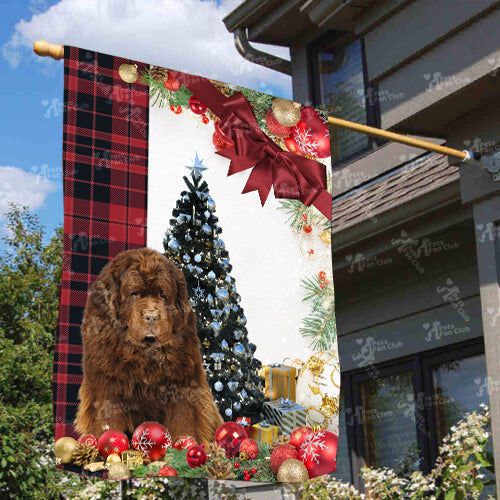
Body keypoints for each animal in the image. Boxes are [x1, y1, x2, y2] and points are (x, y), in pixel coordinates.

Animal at [74, 248, 223, 444]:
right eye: (134, 293)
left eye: (162, 294)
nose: (151, 317)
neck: (145, 351)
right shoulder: (107, 386)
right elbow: (107, 419)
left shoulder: (182, 385)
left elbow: (184, 420)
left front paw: (185, 445)